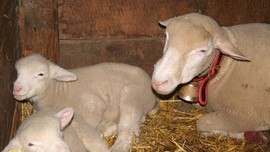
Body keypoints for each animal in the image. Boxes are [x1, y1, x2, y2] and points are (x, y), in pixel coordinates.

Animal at [12, 54, 157, 152]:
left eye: (41, 74)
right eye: (18, 73)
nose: (16, 89)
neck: (58, 89)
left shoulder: (93, 105)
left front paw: (106, 128)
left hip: (132, 95)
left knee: (127, 130)